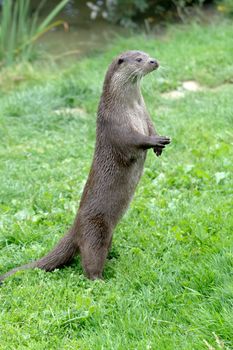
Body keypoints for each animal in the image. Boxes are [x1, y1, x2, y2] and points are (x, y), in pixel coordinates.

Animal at [0, 50, 171, 282]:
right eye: (139, 59)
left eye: (148, 54)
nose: (154, 61)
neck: (130, 108)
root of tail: (75, 227)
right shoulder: (116, 126)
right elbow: (134, 141)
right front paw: (155, 142)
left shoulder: (146, 115)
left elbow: (152, 127)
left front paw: (160, 144)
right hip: (95, 231)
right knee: (89, 260)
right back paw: (100, 279)